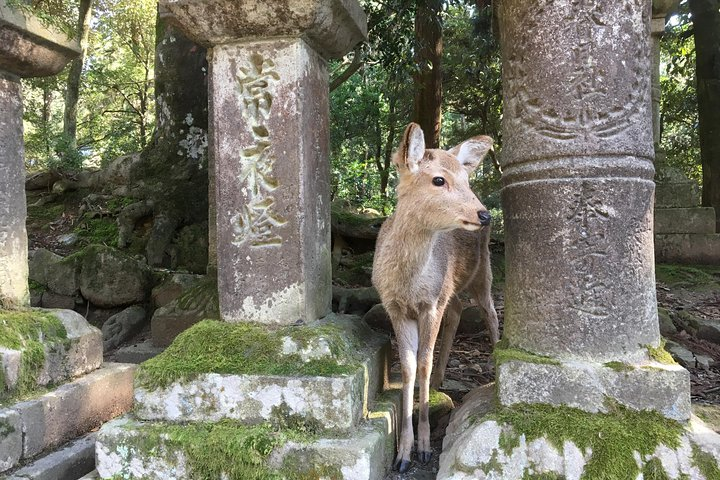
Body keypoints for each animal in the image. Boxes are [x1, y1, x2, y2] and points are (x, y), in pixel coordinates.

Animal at [372, 123, 499, 473]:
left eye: (466, 179)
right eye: (438, 179)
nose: (484, 214)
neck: (409, 284)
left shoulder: (430, 304)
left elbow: (423, 363)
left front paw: (425, 447)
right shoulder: (395, 308)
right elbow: (409, 366)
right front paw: (403, 453)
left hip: (482, 273)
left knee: (491, 312)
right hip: (450, 290)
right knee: (457, 311)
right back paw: (444, 378)